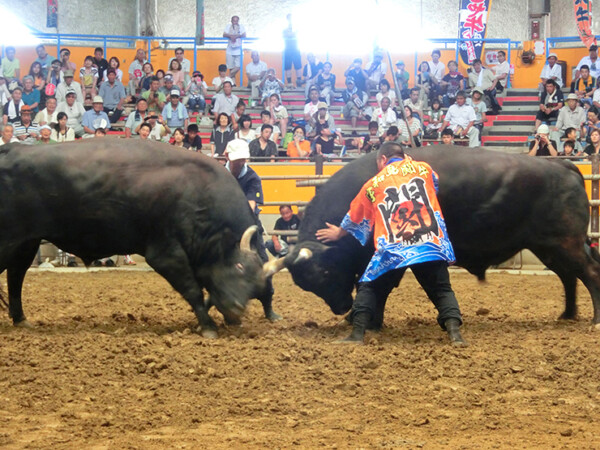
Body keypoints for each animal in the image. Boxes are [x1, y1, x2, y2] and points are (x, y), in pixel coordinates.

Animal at [0, 139, 272, 336]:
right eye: (238, 267)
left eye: (255, 284)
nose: (238, 309)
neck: (198, 193)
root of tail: (12, 149)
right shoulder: (165, 253)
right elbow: (193, 289)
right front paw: (207, 327)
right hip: (10, 240)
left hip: (26, 242)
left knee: (16, 276)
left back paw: (21, 319)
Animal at [284, 148, 600, 324]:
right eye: (307, 285)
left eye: (325, 272)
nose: (341, 307)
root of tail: (560, 165)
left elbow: (378, 288)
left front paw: (363, 320)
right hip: (550, 248)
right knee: (569, 277)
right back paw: (567, 314)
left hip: (565, 245)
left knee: (590, 273)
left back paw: (594, 321)